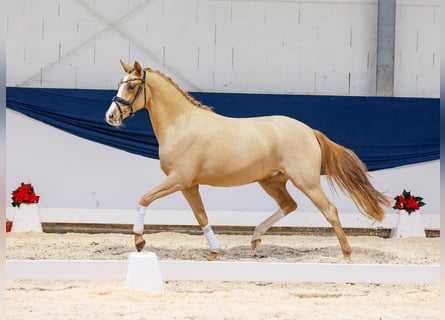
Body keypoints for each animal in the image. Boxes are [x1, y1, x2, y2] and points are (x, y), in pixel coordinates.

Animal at [104, 60, 388, 260]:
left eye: (131, 86)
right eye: (119, 83)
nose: (110, 116)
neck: (182, 125)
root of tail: (309, 131)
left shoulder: (179, 179)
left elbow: (144, 198)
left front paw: (139, 241)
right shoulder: (189, 185)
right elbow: (201, 217)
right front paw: (214, 251)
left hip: (306, 181)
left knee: (329, 210)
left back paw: (347, 254)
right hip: (272, 181)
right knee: (289, 205)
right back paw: (255, 238)